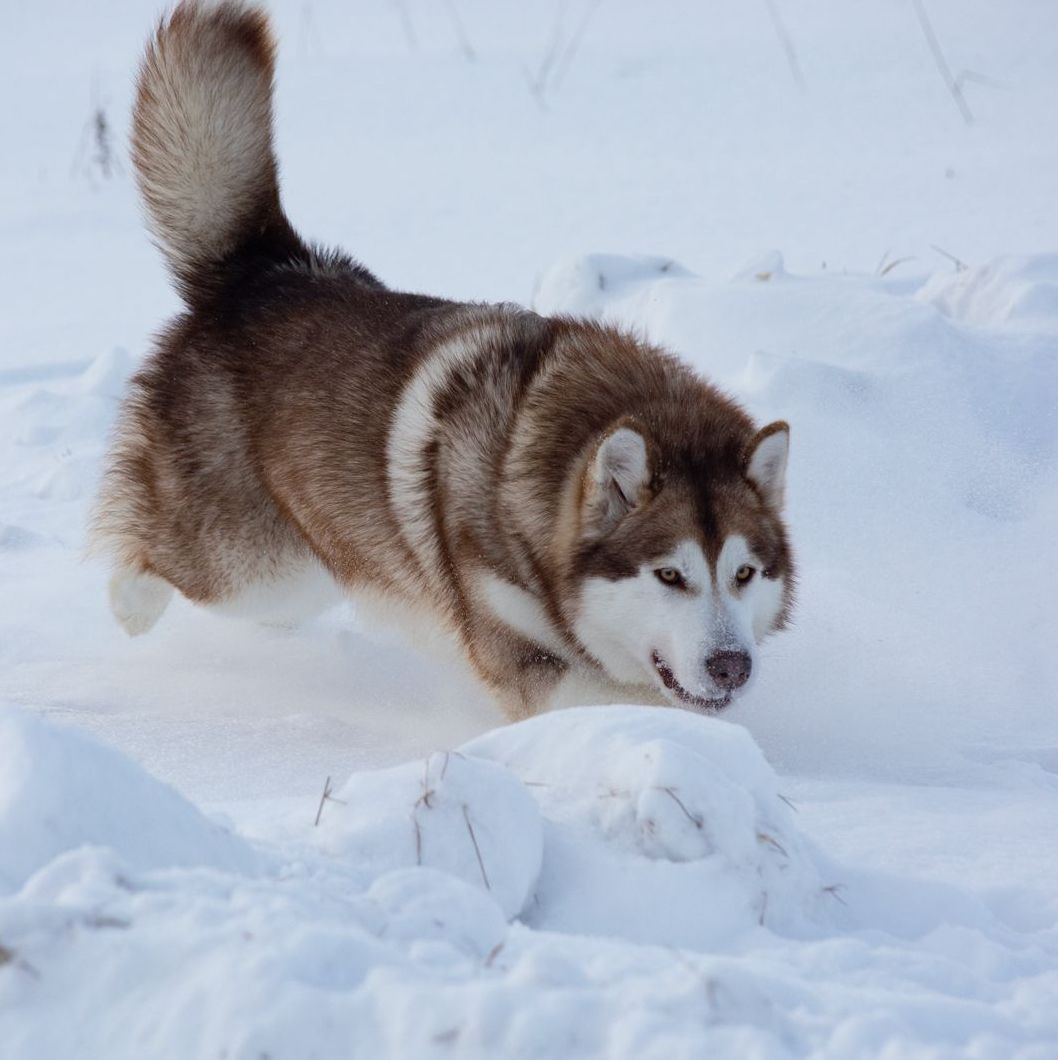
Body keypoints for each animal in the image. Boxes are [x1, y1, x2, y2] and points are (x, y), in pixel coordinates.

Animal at [91, 2, 797, 720]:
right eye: (670, 576)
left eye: (743, 573)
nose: (732, 665)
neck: (530, 496)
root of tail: (266, 269)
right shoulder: (521, 658)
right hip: (251, 564)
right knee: (151, 552)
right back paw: (129, 604)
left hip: (311, 566)